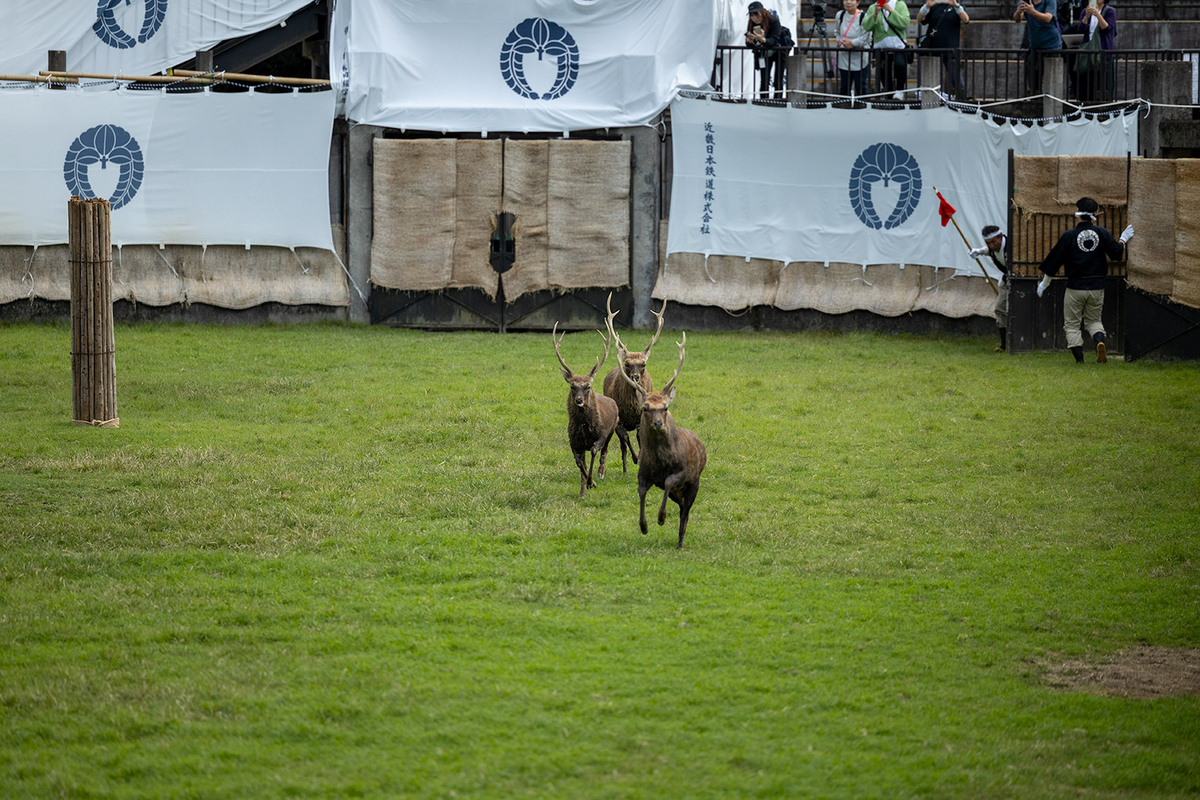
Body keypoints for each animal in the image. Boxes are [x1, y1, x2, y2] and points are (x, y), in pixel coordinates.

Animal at [552, 321, 619, 496]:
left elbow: (594, 452)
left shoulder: (600, 435)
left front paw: (592, 481)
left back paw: (600, 473)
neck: (584, 427)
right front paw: (584, 489)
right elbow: (579, 463)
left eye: (588, 386)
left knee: (604, 452)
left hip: (612, 430)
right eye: (572, 386)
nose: (579, 400)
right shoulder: (574, 442)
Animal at [600, 293, 667, 472]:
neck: (631, 407)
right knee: (622, 444)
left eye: (643, 364)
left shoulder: (641, 417)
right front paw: (635, 459)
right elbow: (625, 438)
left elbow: (639, 438)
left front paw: (642, 459)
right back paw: (624, 468)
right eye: (627, 363)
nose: (635, 377)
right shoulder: (619, 420)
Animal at [619, 333, 700, 551]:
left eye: (665, 407)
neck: (660, 463)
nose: (657, 423)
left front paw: (661, 518)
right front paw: (644, 526)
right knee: (681, 507)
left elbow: (669, 481)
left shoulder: (681, 472)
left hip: (694, 483)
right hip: (679, 493)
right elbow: (641, 492)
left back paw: (680, 543)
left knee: (685, 512)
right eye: (645, 408)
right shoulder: (643, 474)